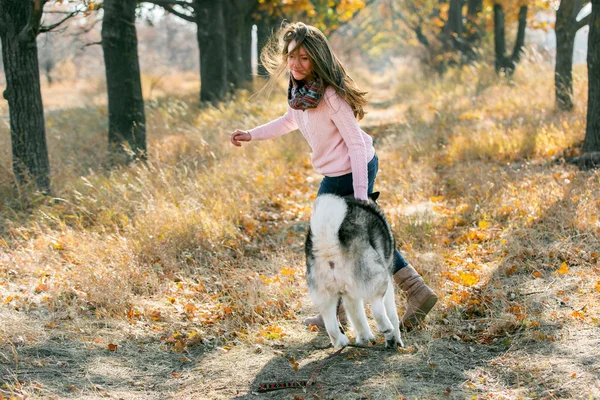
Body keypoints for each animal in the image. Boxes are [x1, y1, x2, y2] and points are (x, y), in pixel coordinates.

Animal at [304, 193, 404, 346]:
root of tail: (329, 247)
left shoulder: (349, 295)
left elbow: (357, 316)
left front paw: (364, 338)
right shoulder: (388, 282)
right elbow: (392, 314)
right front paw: (394, 339)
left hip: (326, 298)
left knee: (331, 327)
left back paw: (341, 341)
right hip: (379, 278)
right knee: (377, 308)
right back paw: (385, 327)